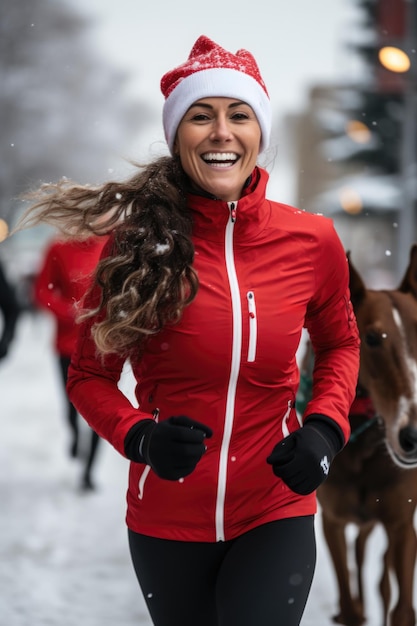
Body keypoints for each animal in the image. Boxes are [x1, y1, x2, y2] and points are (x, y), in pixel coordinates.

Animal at [310, 245, 416, 624]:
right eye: (371, 339)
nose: (413, 435)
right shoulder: (333, 521)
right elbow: (349, 601)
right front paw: (349, 609)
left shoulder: (402, 524)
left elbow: (402, 608)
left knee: (382, 578)